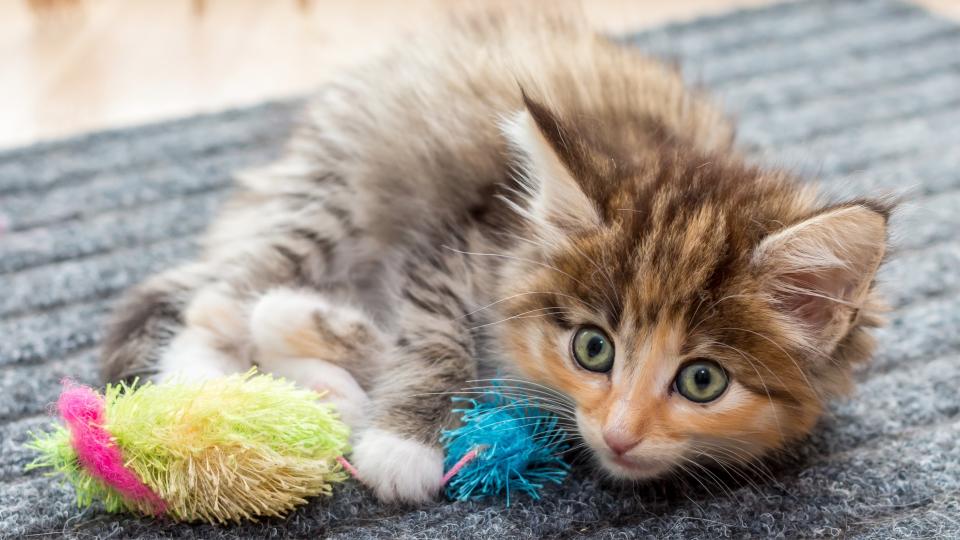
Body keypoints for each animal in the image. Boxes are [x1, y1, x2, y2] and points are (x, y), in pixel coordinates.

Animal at [97, 9, 884, 506]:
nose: (621, 435)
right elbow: (436, 338)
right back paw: (207, 382)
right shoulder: (466, 240)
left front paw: (328, 366)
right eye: (594, 348)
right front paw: (402, 442)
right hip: (342, 193)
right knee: (214, 291)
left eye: (702, 381)